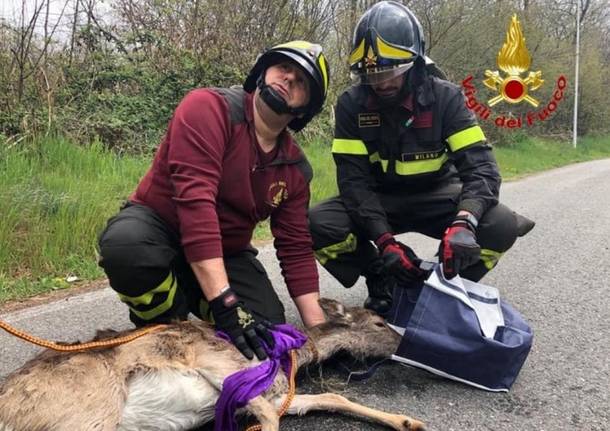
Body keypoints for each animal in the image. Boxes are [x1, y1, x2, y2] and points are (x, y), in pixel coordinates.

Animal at [0, 298, 422, 431]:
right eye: (379, 322)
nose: (407, 344)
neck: (285, 355)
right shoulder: (218, 363)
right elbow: (269, 420)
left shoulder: (278, 395)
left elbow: (333, 398)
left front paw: (408, 422)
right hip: (89, 413)